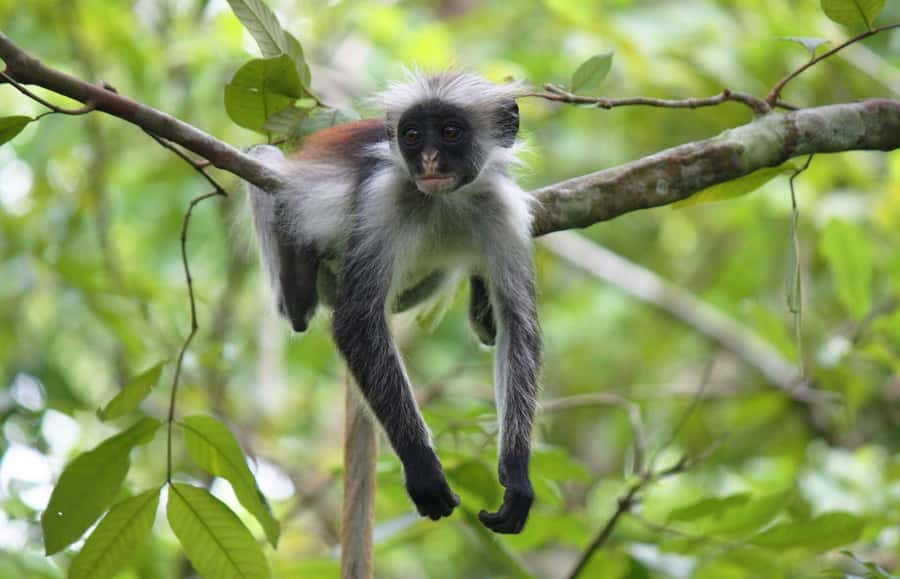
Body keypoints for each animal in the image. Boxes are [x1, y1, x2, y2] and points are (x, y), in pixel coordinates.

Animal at [247, 71, 540, 534]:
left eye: (451, 132)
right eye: (413, 135)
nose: (430, 161)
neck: (445, 199)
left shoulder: (503, 209)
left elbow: (518, 326)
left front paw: (517, 473)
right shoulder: (383, 199)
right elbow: (356, 322)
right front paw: (422, 467)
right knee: (264, 155)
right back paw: (296, 285)